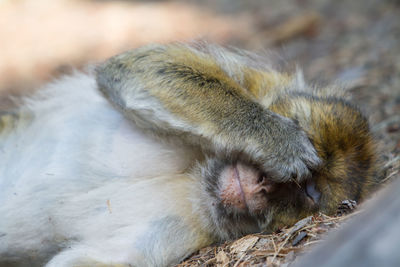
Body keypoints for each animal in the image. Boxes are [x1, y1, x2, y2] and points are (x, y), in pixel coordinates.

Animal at [0, 43, 378, 266]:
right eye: (299, 129)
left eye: (309, 192)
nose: (263, 183)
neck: (196, 176)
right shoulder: (254, 81)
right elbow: (142, 66)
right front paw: (277, 139)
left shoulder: (185, 229)